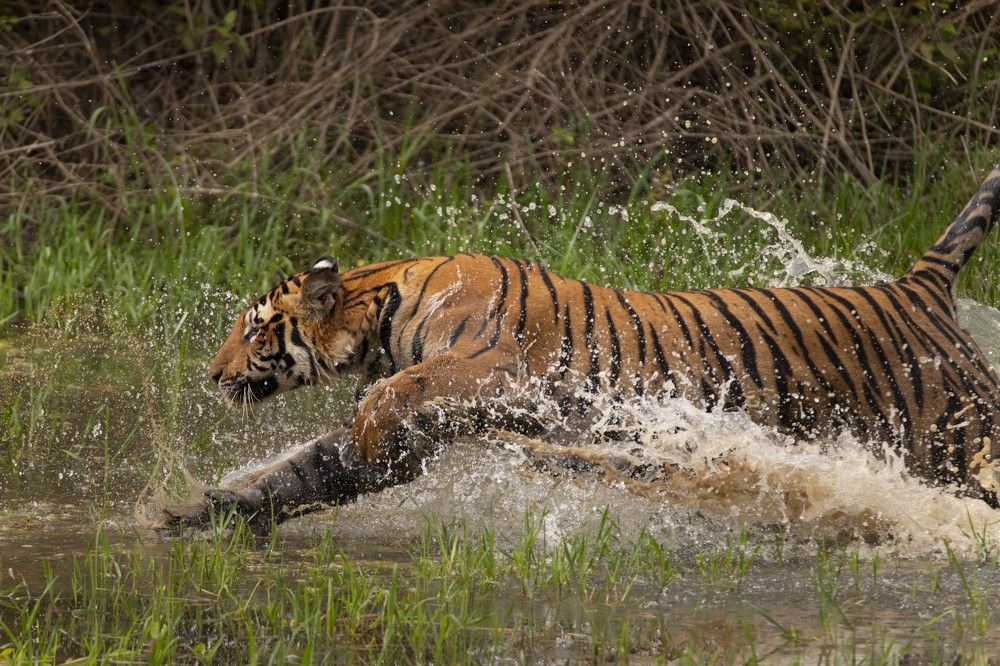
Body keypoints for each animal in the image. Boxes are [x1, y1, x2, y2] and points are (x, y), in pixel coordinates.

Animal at [163, 163, 1000, 536]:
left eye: (253, 329)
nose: (211, 373)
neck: (381, 315)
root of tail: (918, 286)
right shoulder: (419, 439)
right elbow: (303, 475)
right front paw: (194, 514)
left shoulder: (491, 367)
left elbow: (391, 398)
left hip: (962, 440)